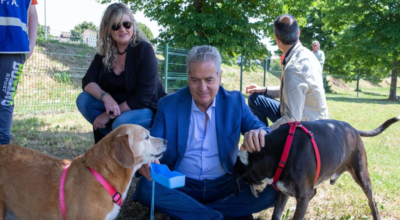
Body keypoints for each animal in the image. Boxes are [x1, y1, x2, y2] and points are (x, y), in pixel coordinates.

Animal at [233, 117, 398, 220]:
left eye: (246, 180)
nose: (253, 193)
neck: (279, 151)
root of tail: (354, 130)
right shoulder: (284, 192)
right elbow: (276, 215)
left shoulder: (304, 196)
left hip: (362, 175)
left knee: (373, 202)